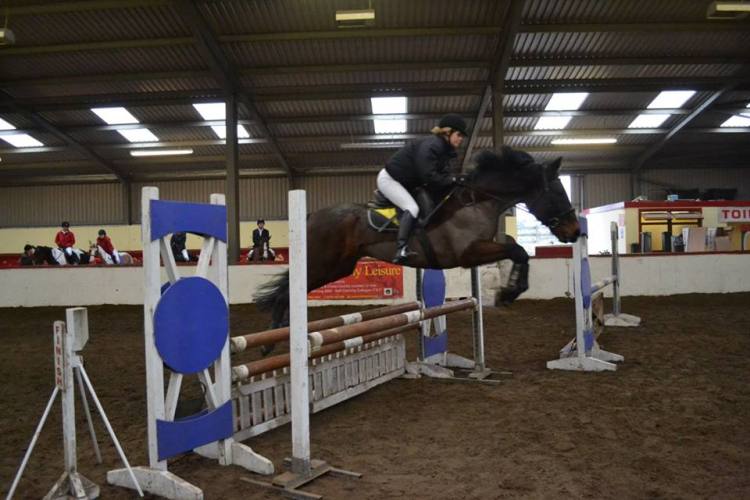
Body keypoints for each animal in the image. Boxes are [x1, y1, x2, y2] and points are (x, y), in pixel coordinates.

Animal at [255, 146, 581, 349]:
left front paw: (510, 291)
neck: (477, 201)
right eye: (557, 192)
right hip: (323, 263)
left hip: (338, 267)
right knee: (287, 291)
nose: (575, 231)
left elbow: (517, 250)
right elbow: (518, 252)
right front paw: (508, 292)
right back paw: (272, 338)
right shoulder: (468, 253)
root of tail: (312, 215)